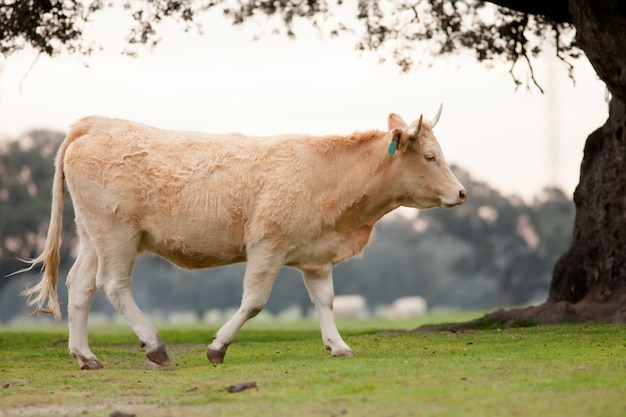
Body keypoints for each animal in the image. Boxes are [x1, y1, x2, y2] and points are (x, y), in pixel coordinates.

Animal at [19, 105, 464, 368]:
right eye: (430, 157)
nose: (461, 192)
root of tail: (94, 124)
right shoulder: (267, 245)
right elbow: (254, 302)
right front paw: (217, 347)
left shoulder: (317, 255)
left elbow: (325, 301)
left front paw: (337, 344)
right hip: (118, 234)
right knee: (112, 285)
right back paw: (154, 345)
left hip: (92, 235)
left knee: (79, 287)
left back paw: (85, 355)